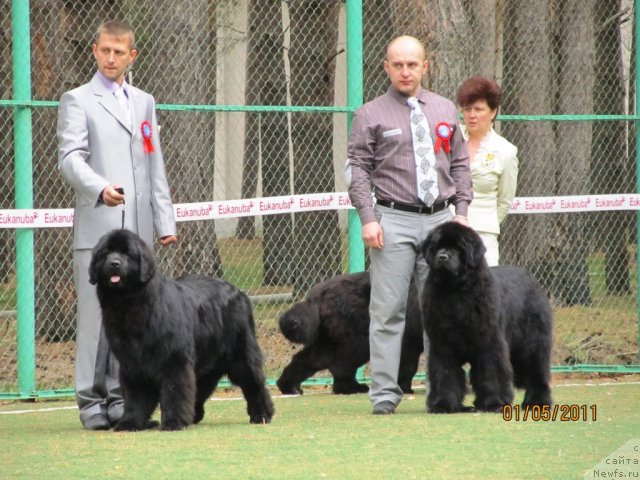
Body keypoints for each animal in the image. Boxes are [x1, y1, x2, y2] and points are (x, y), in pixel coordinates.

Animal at [89, 229, 274, 432]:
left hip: (240, 355)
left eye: (126, 253)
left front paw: (173, 422)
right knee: (200, 387)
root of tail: (239, 292)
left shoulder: (174, 360)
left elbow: (175, 391)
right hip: (206, 360)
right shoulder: (132, 363)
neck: (130, 305)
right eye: (106, 253)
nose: (114, 263)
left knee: (254, 383)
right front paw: (130, 422)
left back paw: (262, 414)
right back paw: (194, 416)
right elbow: (135, 396)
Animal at [276, 272, 422, 396]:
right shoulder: (409, 339)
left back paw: (290, 387)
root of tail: (317, 295)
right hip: (356, 341)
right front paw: (403, 388)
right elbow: (408, 366)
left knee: (310, 359)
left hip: (329, 339)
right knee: (341, 365)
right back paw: (354, 388)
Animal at [422, 221, 552, 412]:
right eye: (436, 246)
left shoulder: (489, 341)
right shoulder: (442, 344)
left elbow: (492, 371)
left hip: (532, 342)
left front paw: (494, 403)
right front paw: (443, 404)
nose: (442, 256)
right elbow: (444, 373)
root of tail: (532, 280)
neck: (455, 292)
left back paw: (538, 403)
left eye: (457, 248)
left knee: (536, 371)